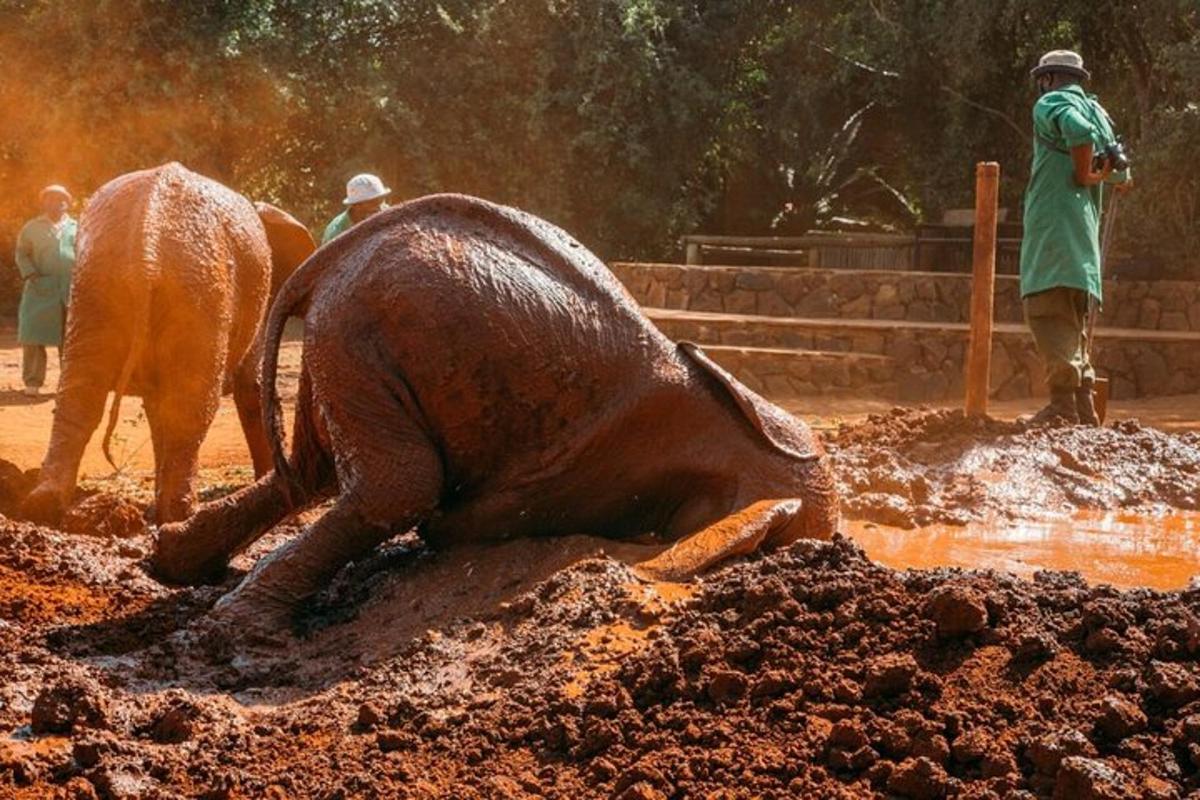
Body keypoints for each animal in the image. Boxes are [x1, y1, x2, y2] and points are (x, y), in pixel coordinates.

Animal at [22, 163, 316, 525]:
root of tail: (148, 240)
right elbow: (253, 387)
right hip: (199, 291)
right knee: (190, 406)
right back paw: (181, 516)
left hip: (97, 283)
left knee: (82, 392)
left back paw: (45, 505)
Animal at [154, 194, 840, 633]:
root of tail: (317, 266)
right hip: (359, 327)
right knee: (396, 487)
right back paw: (237, 627)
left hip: (343, 339)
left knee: (319, 472)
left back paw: (182, 570)